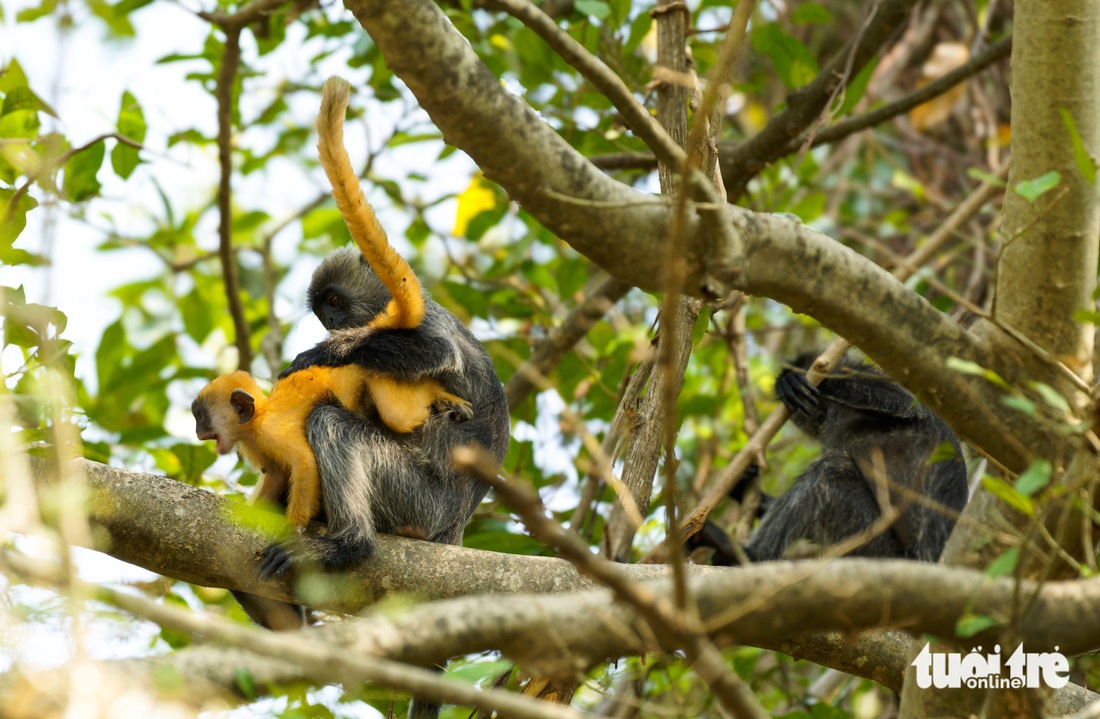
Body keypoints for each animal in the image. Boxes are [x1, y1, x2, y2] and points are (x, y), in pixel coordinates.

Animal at [699, 358, 968, 567]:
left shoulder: (868, 374)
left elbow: (907, 405)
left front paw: (805, 379)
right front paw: (742, 483)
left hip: (883, 548)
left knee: (829, 474)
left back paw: (747, 555)